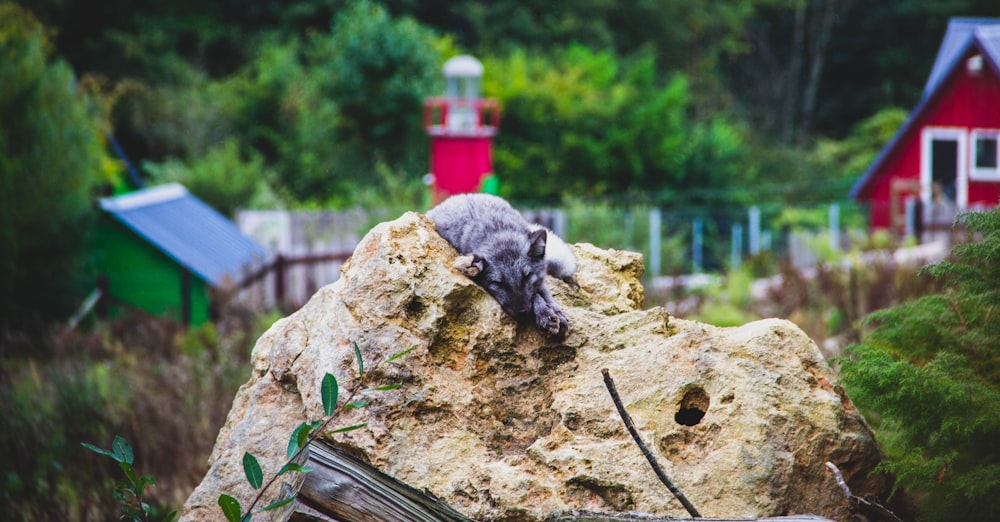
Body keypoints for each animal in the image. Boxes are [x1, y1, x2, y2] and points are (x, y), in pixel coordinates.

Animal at [424, 193, 580, 336]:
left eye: (527, 277)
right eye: (499, 283)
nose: (523, 313)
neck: (499, 230)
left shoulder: (538, 279)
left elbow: (542, 293)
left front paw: (554, 313)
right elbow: (536, 296)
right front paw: (545, 314)